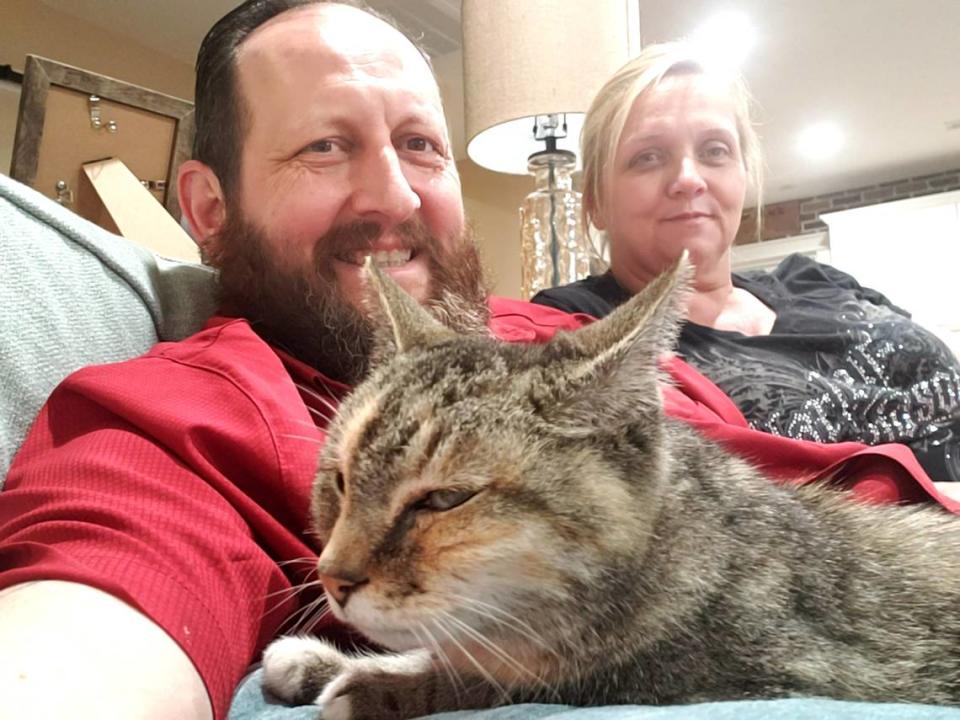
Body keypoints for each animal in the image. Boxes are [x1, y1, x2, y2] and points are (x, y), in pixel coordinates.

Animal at [260, 255, 960, 720]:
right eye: (340, 482)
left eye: (443, 499)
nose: (332, 578)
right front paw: (331, 662)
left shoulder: (755, 669)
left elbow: (509, 678)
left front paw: (375, 684)